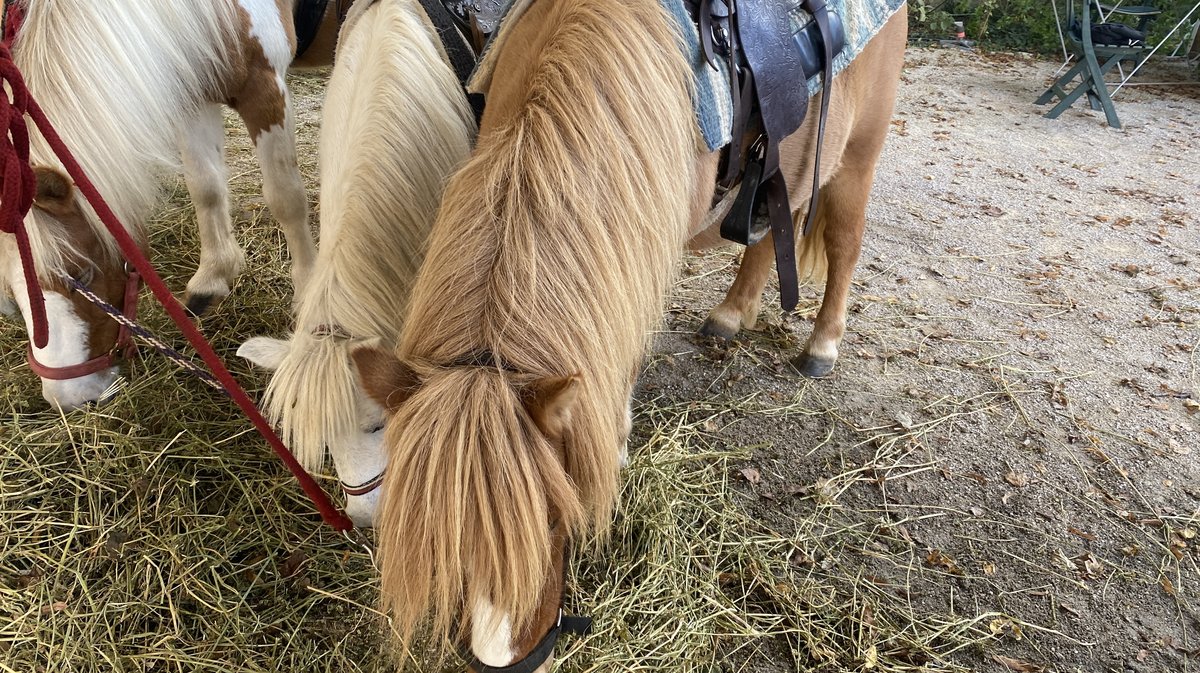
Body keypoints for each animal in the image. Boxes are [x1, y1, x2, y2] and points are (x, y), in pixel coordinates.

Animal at [0, 1, 316, 410]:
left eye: (81, 274)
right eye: (10, 291)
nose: (68, 399)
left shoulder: (264, 86)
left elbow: (285, 197)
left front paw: (309, 296)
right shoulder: (193, 93)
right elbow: (205, 185)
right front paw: (213, 276)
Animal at [350, 0, 902, 667]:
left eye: (557, 519)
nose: (517, 660)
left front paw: (614, 444)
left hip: (858, 157)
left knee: (844, 244)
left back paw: (822, 344)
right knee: (772, 231)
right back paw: (731, 315)